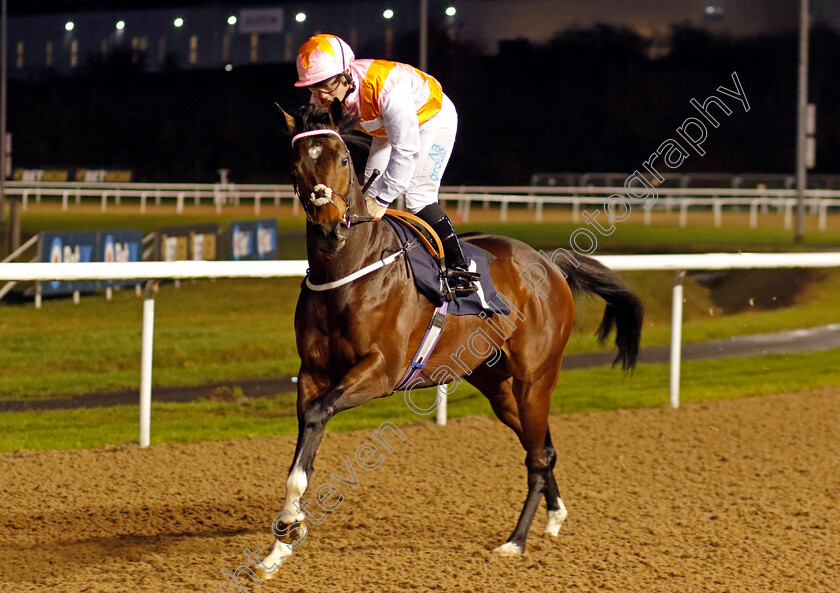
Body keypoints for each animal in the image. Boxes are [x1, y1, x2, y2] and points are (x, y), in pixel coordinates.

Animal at [260, 98, 648, 572]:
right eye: (295, 164)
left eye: (344, 159)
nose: (331, 229)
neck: (348, 272)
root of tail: (550, 262)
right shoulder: (313, 371)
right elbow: (306, 438)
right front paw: (280, 542)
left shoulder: (381, 370)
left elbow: (318, 414)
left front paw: (288, 527)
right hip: (496, 384)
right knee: (540, 444)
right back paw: (554, 516)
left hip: (535, 378)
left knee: (538, 454)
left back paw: (516, 540)